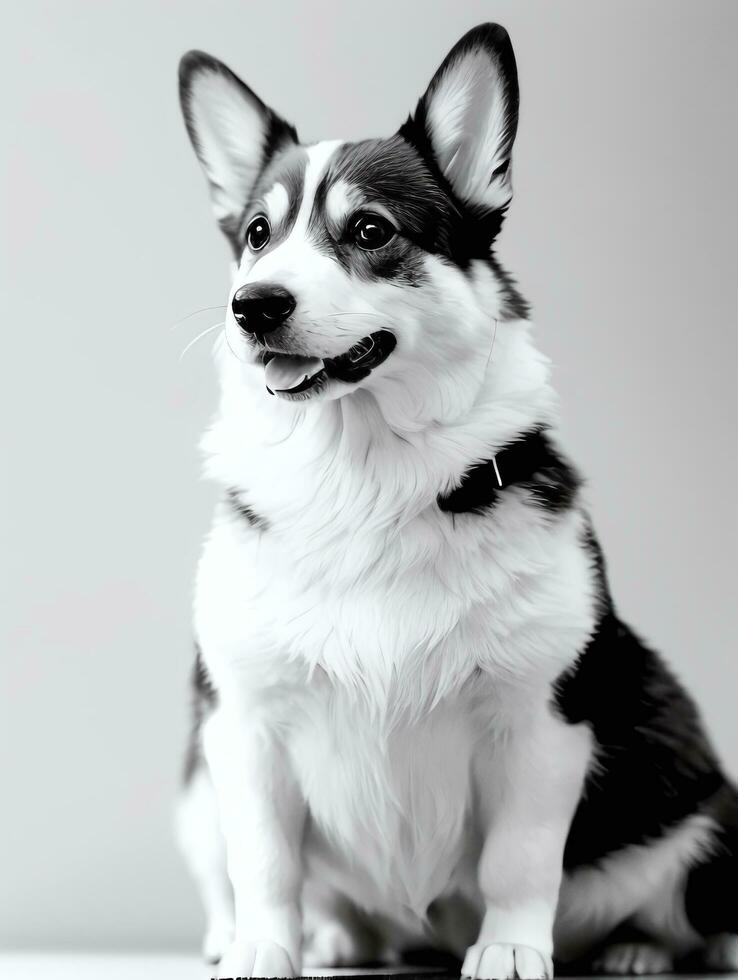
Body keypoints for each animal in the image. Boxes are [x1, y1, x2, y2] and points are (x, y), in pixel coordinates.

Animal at [174, 23, 736, 980]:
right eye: (256, 234)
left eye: (370, 230)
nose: (253, 305)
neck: (360, 474)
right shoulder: (244, 727)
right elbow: (266, 864)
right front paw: (264, 948)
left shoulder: (540, 721)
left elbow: (520, 860)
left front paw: (509, 948)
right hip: (194, 793)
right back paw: (319, 938)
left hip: (699, 807)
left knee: (678, 907)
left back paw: (637, 948)